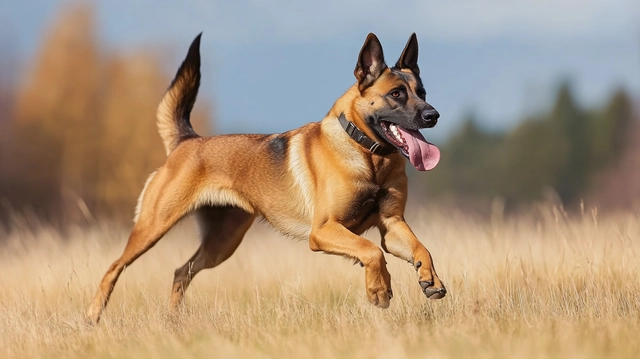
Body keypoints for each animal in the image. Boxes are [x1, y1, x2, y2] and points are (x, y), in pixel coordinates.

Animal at [85, 32, 444, 324]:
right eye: (396, 94)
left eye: (423, 92)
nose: (433, 115)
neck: (368, 154)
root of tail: (187, 141)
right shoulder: (323, 231)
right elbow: (371, 252)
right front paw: (379, 289)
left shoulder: (392, 225)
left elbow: (420, 248)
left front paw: (431, 279)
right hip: (153, 227)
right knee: (114, 268)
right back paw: (92, 315)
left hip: (221, 244)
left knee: (180, 272)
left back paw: (174, 321)